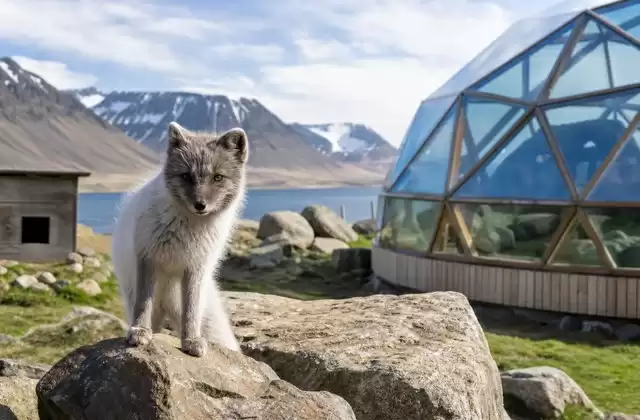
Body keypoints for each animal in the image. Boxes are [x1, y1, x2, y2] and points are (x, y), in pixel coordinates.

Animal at [110, 121, 248, 357]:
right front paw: (140, 332)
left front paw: (191, 340)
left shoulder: (195, 268)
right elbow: (143, 304)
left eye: (218, 177)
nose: (200, 205)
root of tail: (167, 304)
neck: (188, 228)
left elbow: (190, 312)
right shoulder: (148, 257)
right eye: (186, 176)